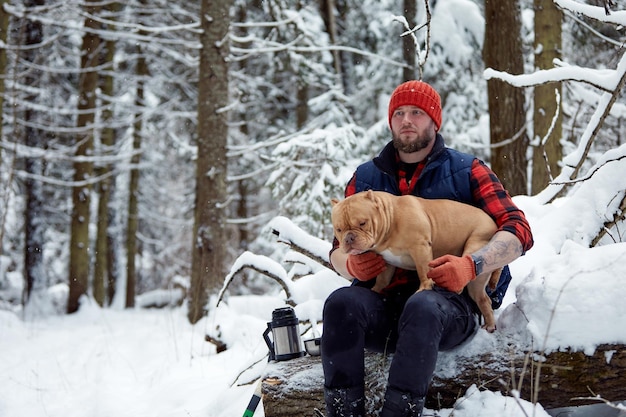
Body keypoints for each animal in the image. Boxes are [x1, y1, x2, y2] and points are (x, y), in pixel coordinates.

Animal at [330, 189, 500, 332]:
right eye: (338, 229)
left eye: (362, 223)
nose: (349, 238)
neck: (391, 220)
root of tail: (495, 225)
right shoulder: (387, 261)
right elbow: (382, 280)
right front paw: (375, 290)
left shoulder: (420, 247)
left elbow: (424, 270)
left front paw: (424, 287)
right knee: (483, 299)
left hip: (476, 248)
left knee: (472, 281)